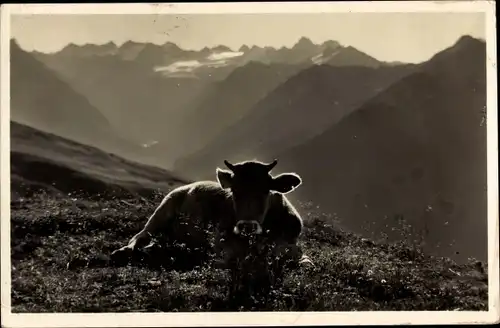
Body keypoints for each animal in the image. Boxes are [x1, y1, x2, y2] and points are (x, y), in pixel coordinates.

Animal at [111, 159, 312, 276]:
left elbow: (303, 261)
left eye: (265, 191)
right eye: (234, 191)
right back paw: (124, 252)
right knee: (139, 237)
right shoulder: (221, 242)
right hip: (161, 213)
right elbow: (230, 260)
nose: (246, 226)